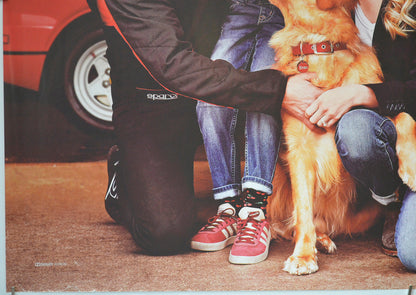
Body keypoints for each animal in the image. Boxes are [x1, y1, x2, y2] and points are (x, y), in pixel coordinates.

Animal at [264, 0, 416, 276]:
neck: (318, 45)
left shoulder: (371, 101)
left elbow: (402, 115)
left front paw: (412, 167)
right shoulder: (299, 150)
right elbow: (303, 211)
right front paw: (303, 256)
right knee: (292, 225)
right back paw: (320, 240)